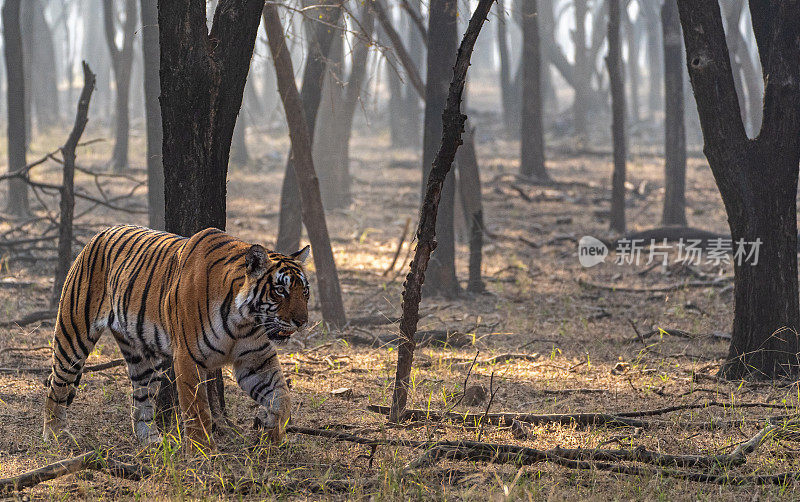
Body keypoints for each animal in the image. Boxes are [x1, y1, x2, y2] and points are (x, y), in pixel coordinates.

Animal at [43, 224, 312, 448]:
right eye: (280, 290)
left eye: (305, 291)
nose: (302, 321)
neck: (243, 322)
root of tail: (99, 233)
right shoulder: (188, 357)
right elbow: (198, 410)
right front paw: (203, 455)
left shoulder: (256, 360)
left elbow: (281, 398)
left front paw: (271, 434)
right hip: (73, 335)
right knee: (57, 385)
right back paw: (56, 434)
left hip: (142, 357)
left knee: (141, 400)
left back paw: (151, 441)